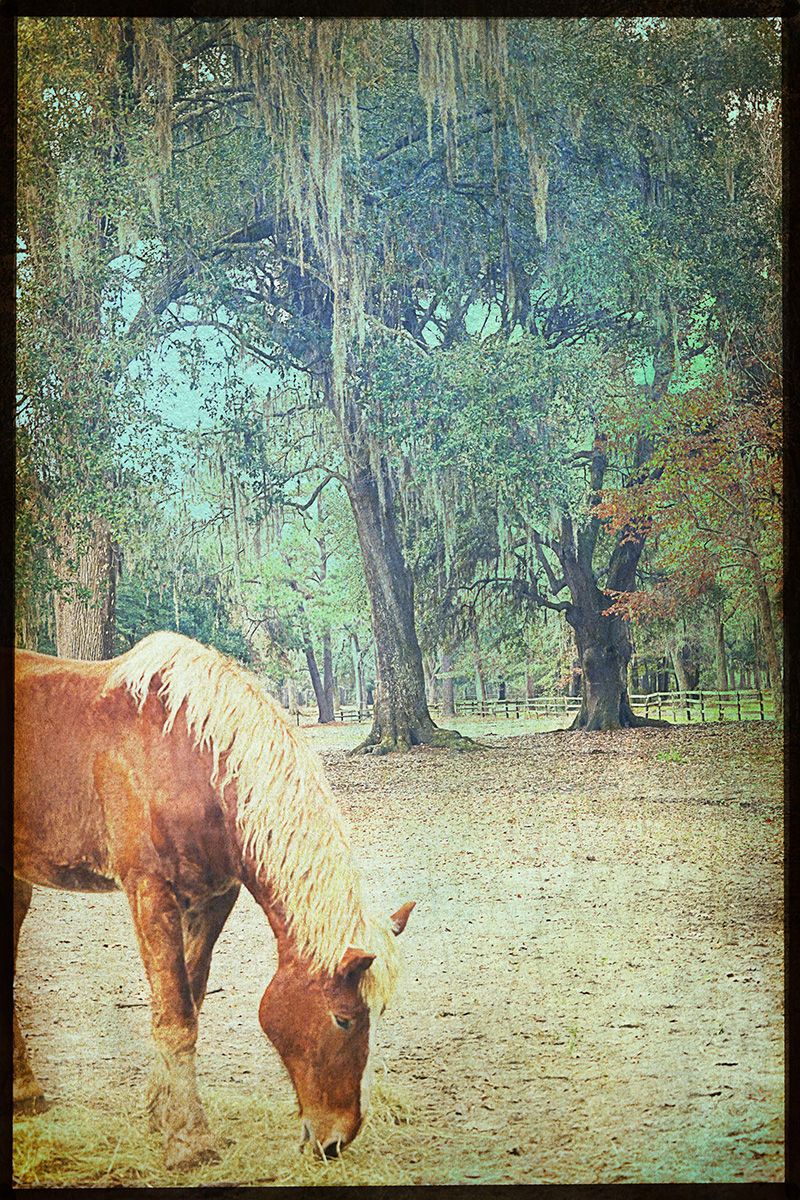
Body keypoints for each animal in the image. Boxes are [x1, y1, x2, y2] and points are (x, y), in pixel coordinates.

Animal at [14, 631, 414, 1169]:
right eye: (344, 1019)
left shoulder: (213, 898)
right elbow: (175, 1016)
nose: (336, 1140)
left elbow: (192, 998)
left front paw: (160, 1112)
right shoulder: (150, 892)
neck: (193, 758)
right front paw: (189, 1141)